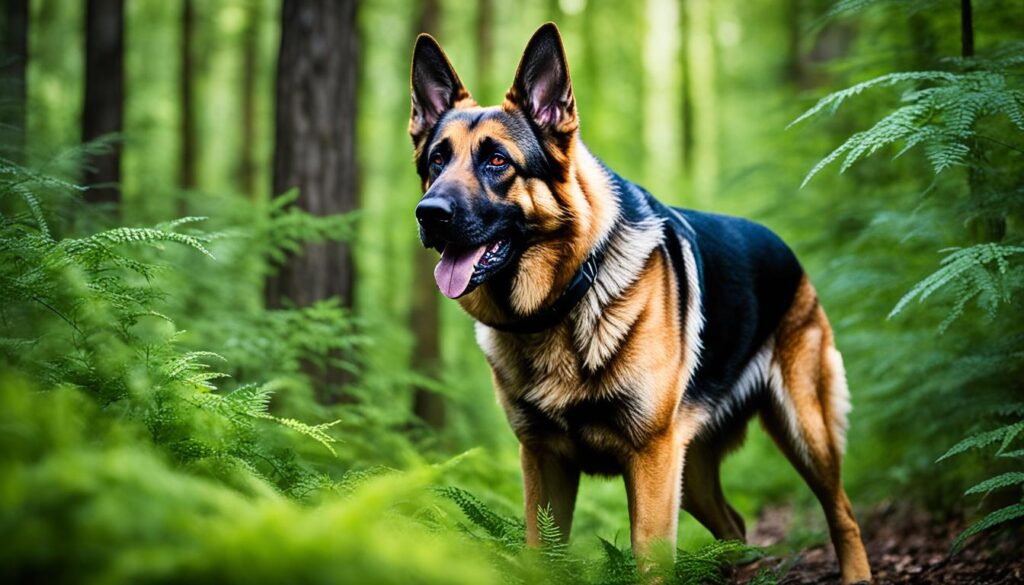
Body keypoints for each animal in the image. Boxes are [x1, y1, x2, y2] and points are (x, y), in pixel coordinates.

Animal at [407, 21, 872, 581]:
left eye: (497, 161)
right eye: (437, 160)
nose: (429, 213)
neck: (564, 303)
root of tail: (784, 247)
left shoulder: (648, 460)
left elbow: (650, 562)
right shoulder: (544, 462)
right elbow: (544, 556)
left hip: (803, 435)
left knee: (842, 511)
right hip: (690, 472)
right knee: (735, 526)